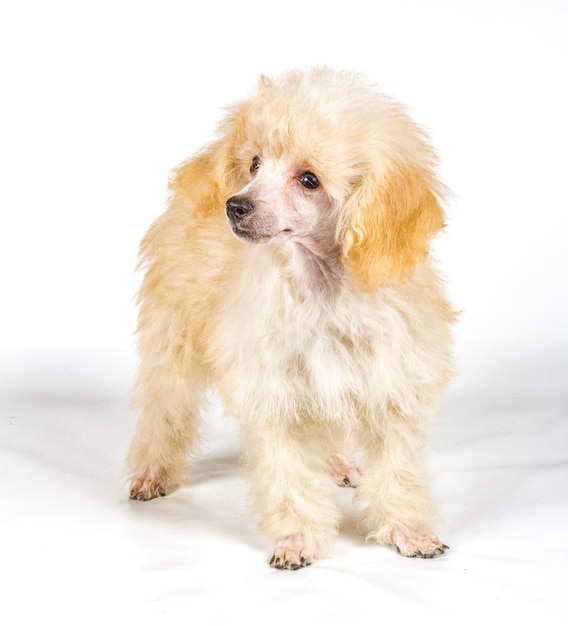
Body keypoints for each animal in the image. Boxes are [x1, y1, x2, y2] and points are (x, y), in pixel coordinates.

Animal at [126, 67, 454, 564]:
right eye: (256, 164)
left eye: (309, 179)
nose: (235, 206)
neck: (324, 289)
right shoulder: (274, 389)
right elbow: (289, 471)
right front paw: (297, 537)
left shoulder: (389, 383)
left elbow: (398, 467)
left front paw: (406, 528)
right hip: (173, 340)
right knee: (165, 409)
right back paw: (152, 470)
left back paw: (337, 463)